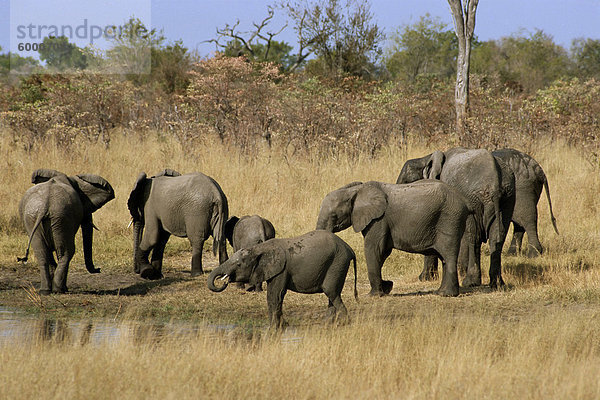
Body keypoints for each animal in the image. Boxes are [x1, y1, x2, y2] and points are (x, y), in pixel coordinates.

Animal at [207, 231, 356, 328]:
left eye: (238, 264)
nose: (224, 281)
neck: (258, 248)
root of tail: (349, 248)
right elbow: (276, 296)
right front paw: (282, 325)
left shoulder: (281, 270)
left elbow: (275, 295)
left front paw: (274, 327)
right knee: (332, 294)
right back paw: (328, 324)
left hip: (337, 263)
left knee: (331, 292)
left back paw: (344, 322)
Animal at [316, 180, 472, 296]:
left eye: (334, 216)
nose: (389, 283)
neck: (356, 191)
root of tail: (465, 200)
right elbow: (383, 252)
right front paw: (387, 287)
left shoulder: (379, 220)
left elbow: (374, 249)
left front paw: (373, 295)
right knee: (444, 257)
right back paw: (440, 292)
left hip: (450, 220)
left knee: (448, 255)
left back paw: (447, 294)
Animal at [398, 148, 516, 290]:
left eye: (406, 182)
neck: (426, 158)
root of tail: (494, 181)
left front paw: (425, 278)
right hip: (508, 196)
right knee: (498, 236)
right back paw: (497, 284)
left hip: (473, 197)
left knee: (474, 235)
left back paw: (470, 282)